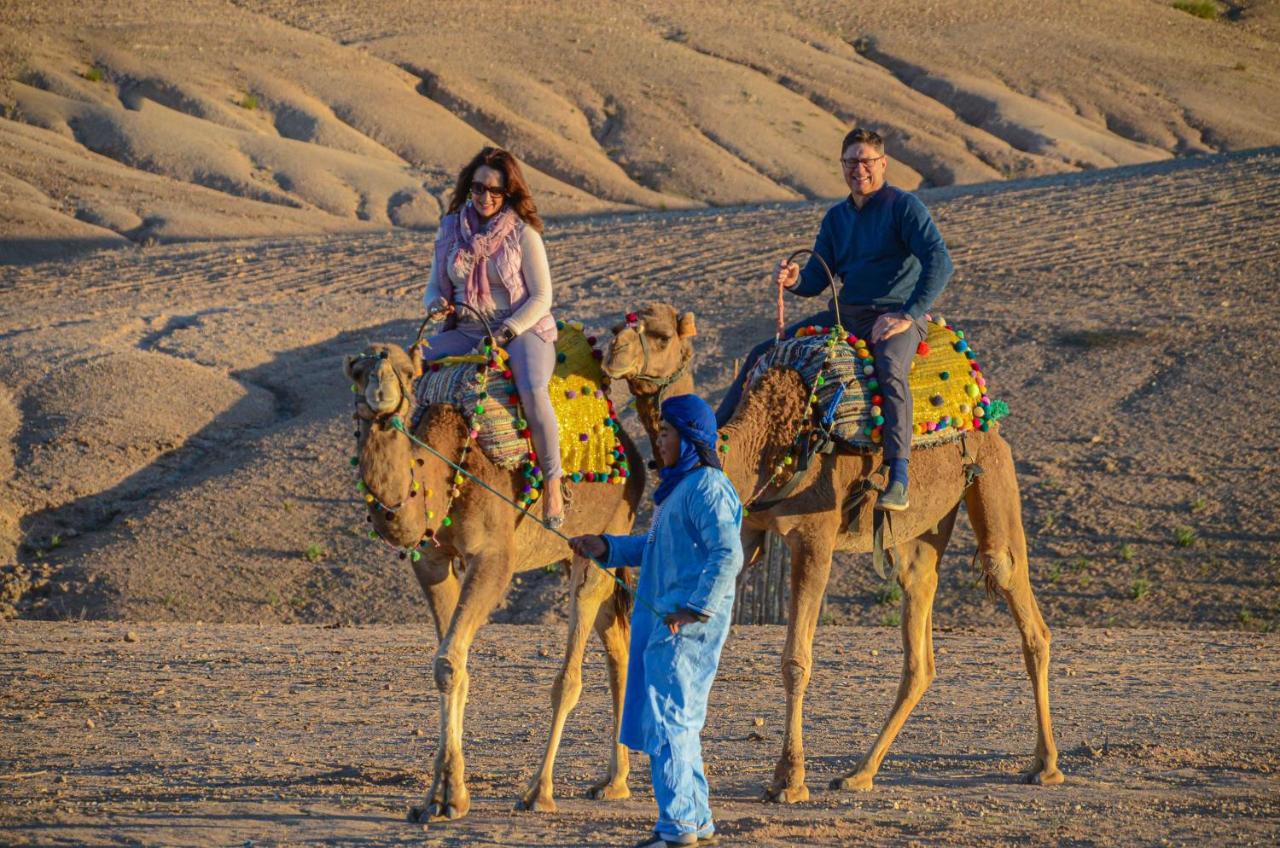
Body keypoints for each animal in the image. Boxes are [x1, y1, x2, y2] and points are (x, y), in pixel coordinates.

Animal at [343, 343, 645, 819]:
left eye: (407, 373)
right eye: (356, 372)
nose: (380, 394)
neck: (441, 473)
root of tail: (633, 453)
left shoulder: (494, 558)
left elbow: (451, 661)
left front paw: (450, 794)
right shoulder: (431, 561)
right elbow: (452, 666)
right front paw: (442, 797)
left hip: (607, 534)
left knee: (572, 670)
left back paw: (540, 790)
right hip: (579, 550)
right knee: (616, 638)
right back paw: (614, 781)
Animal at [599, 303, 1059, 804]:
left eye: (660, 336)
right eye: (619, 325)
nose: (611, 352)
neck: (768, 439)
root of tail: (984, 407)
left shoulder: (814, 537)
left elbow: (796, 661)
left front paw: (789, 779)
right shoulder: (747, 531)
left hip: (993, 471)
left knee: (1019, 599)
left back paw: (1046, 765)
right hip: (924, 527)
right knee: (920, 627)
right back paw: (860, 772)